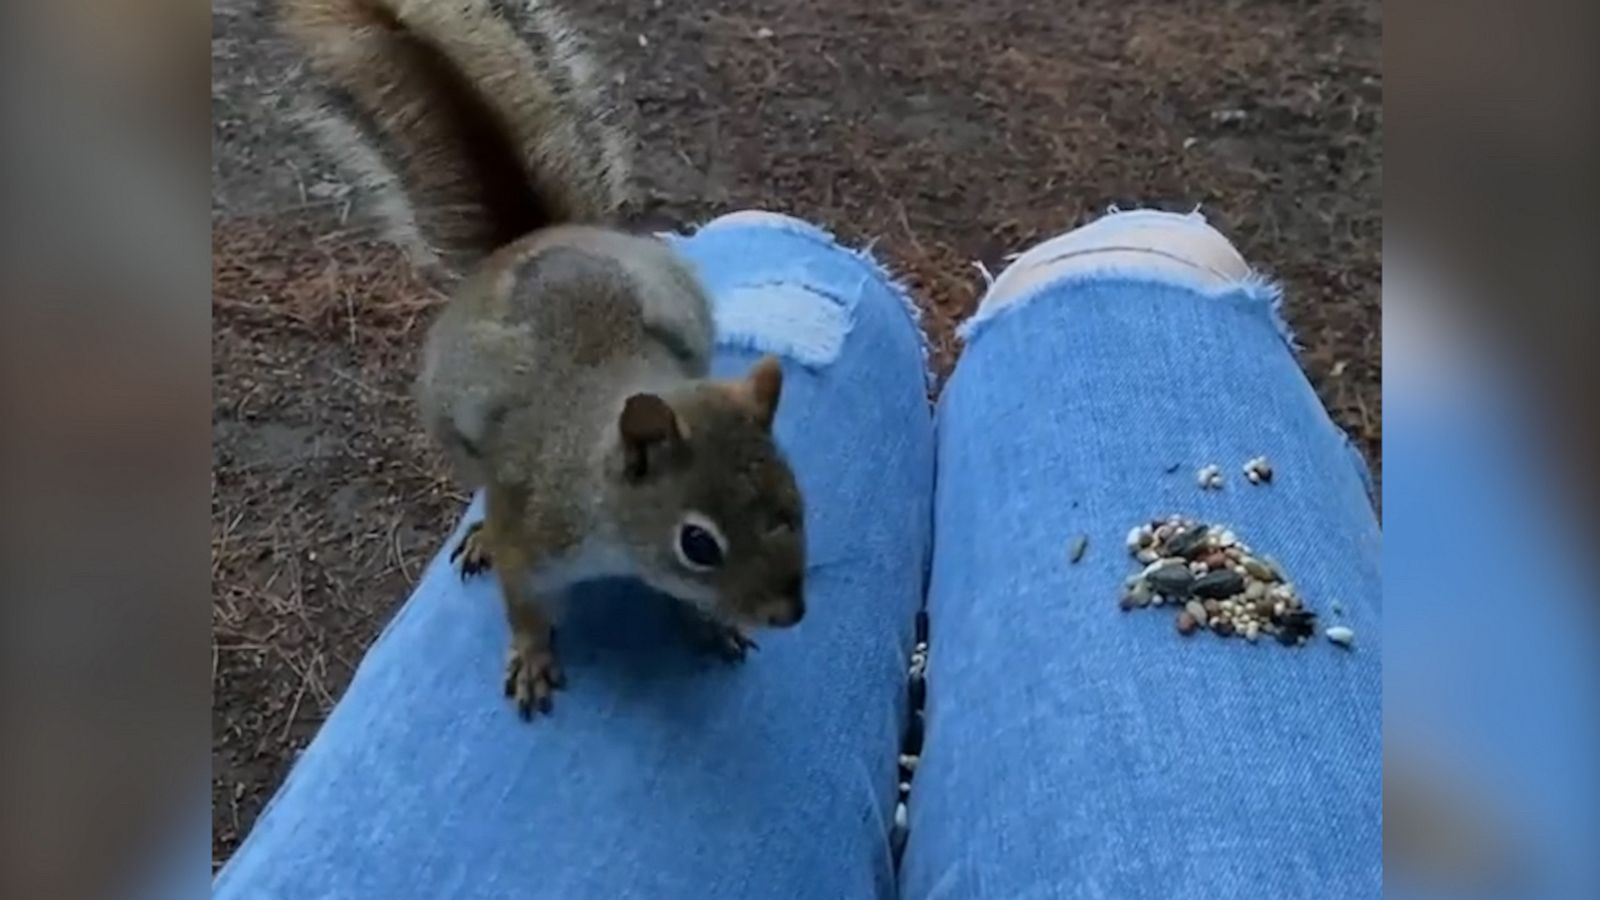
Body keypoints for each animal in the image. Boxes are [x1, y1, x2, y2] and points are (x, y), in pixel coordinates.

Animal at [282, 0, 807, 718]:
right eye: (699, 543)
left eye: (796, 494)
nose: (791, 614)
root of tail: (527, 242)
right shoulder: (533, 535)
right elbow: (524, 605)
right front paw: (531, 658)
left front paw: (709, 623)